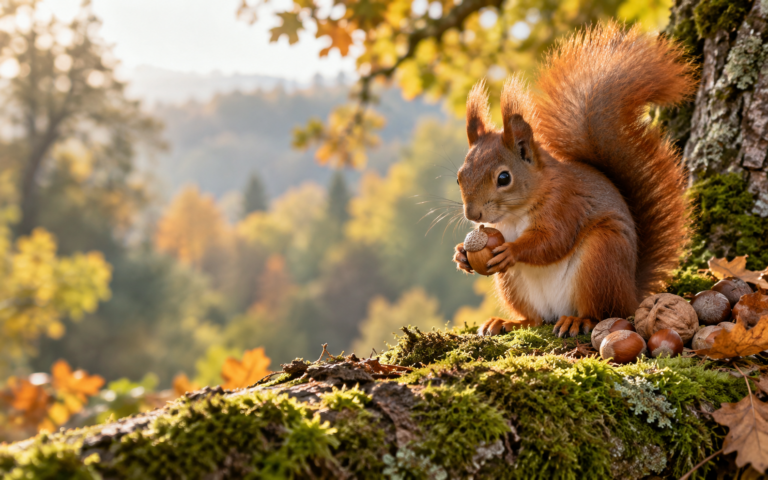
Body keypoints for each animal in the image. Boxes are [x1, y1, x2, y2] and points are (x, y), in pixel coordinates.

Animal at [452, 22, 696, 338]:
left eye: (504, 177)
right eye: (459, 178)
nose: (473, 214)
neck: (516, 212)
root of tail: (631, 292)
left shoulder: (565, 204)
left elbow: (553, 240)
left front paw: (512, 250)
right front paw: (461, 255)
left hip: (601, 259)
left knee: (603, 310)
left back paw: (579, 321)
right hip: (513, 286)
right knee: (535, 319)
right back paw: (509, 322)